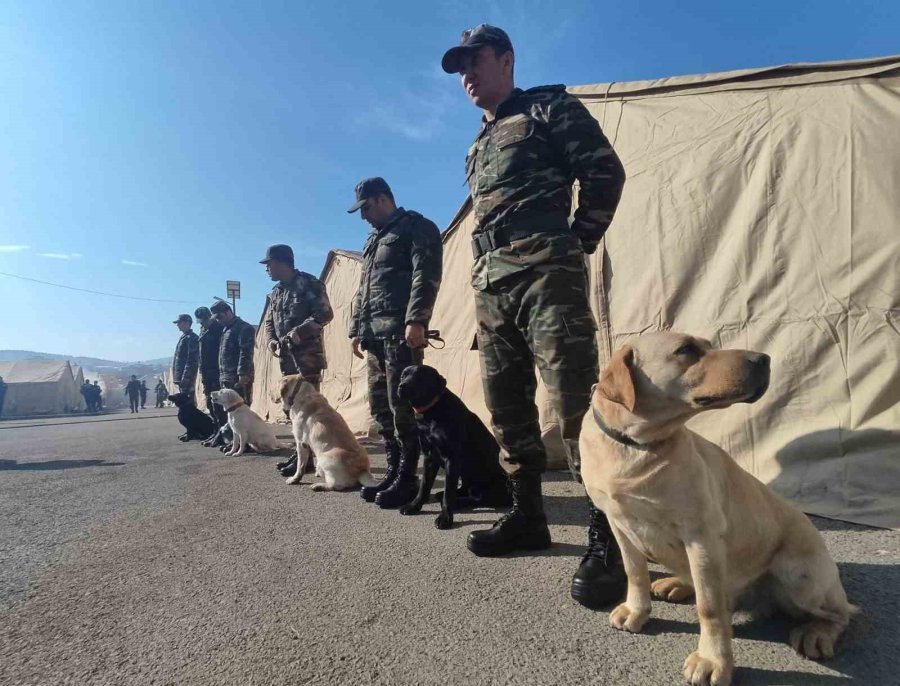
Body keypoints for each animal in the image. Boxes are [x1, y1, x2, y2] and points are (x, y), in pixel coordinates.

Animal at [398, 366, 510, 532]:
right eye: (403, 376)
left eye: (420, 377)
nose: (401, 386)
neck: (430, 413)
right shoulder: (429, 457)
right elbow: (424, 486)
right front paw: (414, 506)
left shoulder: (452, 458)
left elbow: (448, 493)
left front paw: (445, 518)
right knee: (465, 489)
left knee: (478, 498)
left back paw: (458, 502)